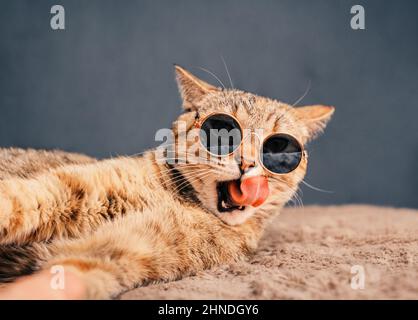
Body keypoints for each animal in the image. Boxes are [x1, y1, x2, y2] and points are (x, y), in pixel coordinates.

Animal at [0, 66, 334, 298]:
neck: (178, 198)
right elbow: (18, 200)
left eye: (278, 148)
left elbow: (71, 275)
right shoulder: (70, 187)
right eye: (222, 130)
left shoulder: (127, 251)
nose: (248, 164)